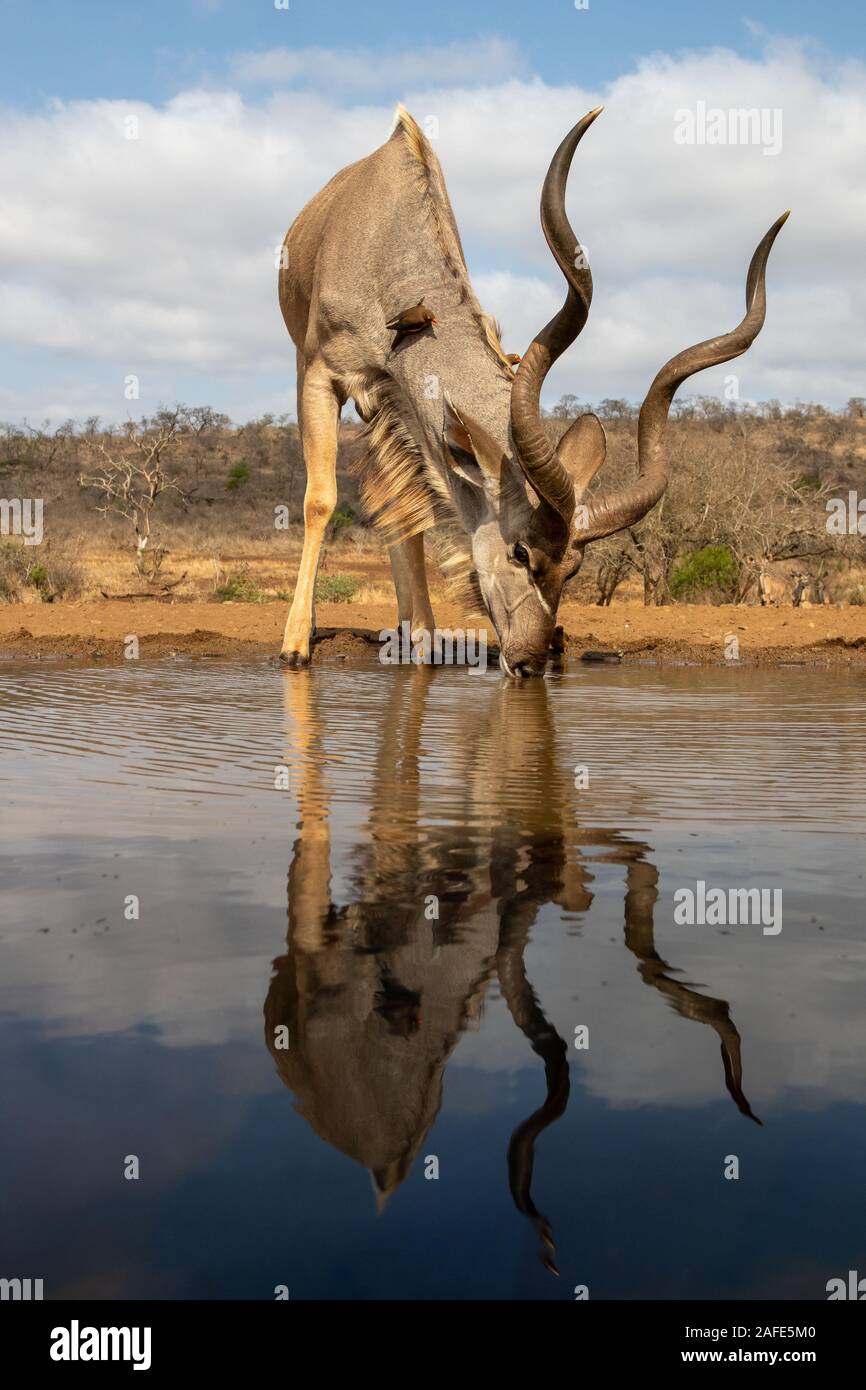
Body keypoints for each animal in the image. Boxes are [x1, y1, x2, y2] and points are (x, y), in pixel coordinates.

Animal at [279, 105, 795, 675]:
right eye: (522, 552)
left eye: (574, 568)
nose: (528, 661)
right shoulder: (320, 374)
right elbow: (321, 500)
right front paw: (295, 644)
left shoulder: (400, 400)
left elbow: (411, 507)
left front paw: (425, 642)